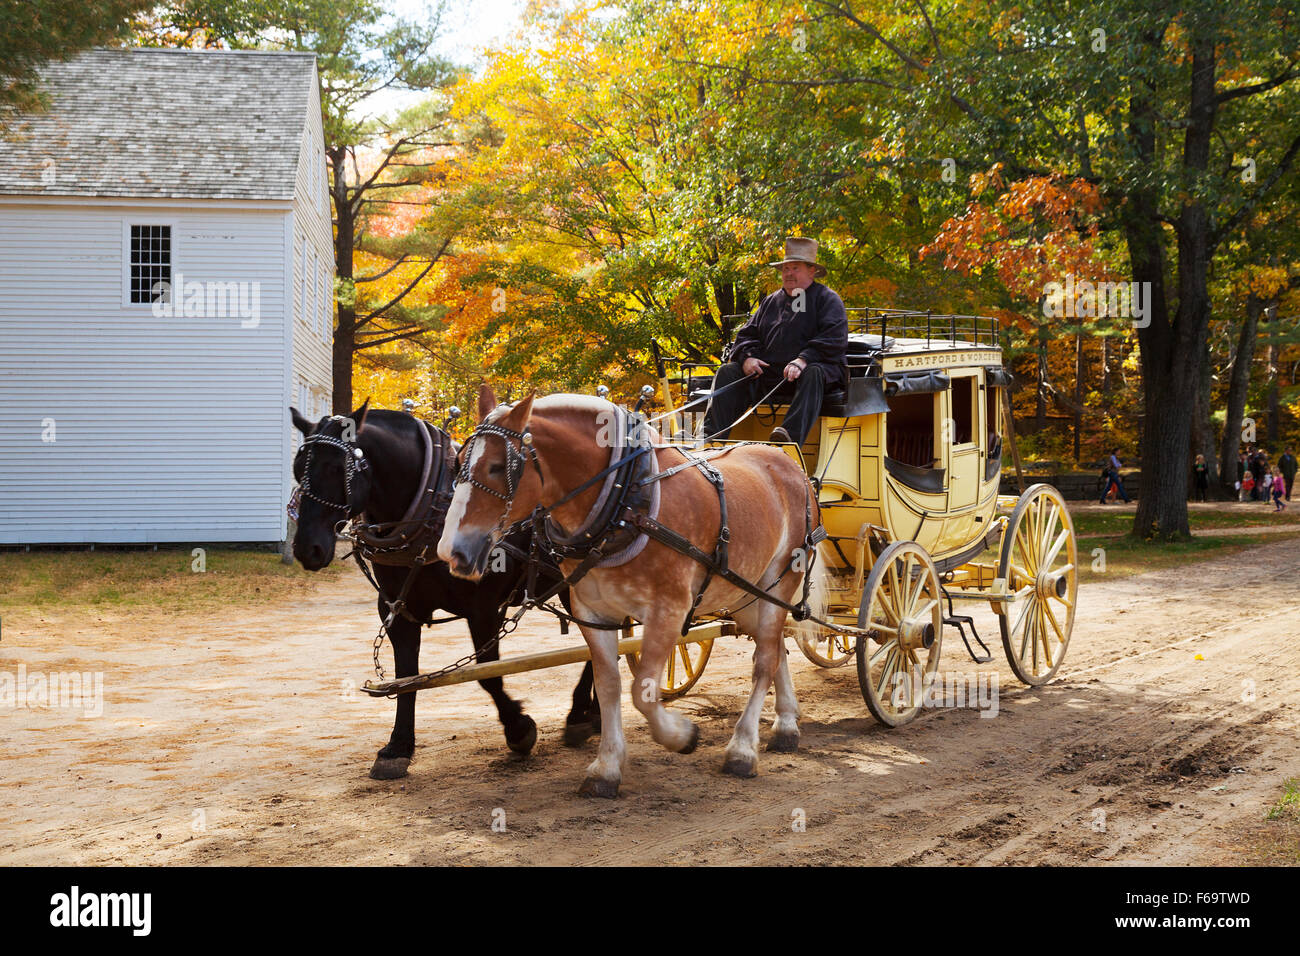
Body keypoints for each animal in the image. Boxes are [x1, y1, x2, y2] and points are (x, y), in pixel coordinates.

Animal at [289, 400, 598, 780]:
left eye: (336, 467)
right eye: (297, 467)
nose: (307, 548)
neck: (430, 512)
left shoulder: (484, 608)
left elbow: (487, 674)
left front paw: (519, 729)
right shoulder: (398, 611)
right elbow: (406, 678)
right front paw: (397, 747)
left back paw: (581, 714)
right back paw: (592, 714)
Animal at [436, 385, 821, 796]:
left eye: (496, 467)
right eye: (457, 463)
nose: (450, 551)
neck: (625, 499)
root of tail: (785, 461)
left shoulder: (669, 609)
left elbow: (644, 690)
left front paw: (681, 735)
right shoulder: (592, 611)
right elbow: (609, 685)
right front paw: (606, 767)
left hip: (781, 579)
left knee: (764, 660)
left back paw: (743, 749)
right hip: (745, 594)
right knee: (775, 647)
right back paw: (786, 724)